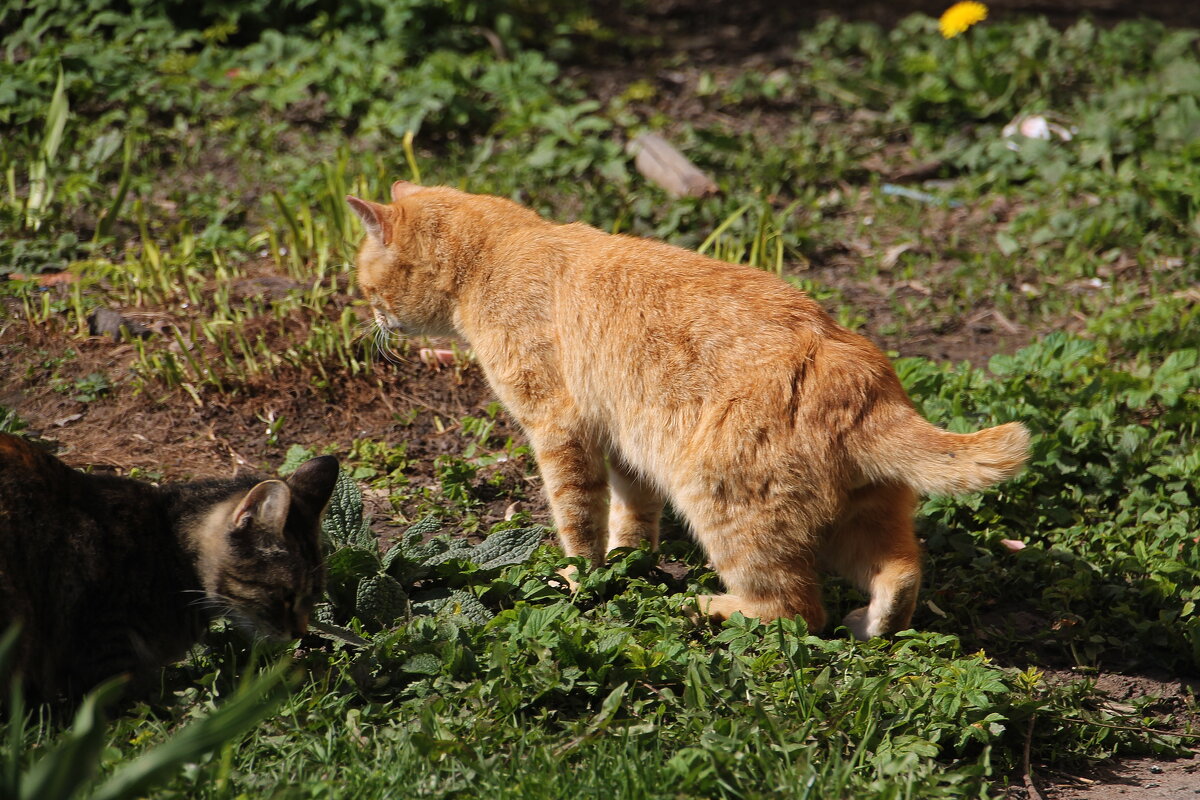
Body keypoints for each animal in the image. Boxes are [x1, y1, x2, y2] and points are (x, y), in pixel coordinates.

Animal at [348, 183, 1032, 638]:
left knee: (794, 612)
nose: (369, 319)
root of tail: (861, 380)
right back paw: (872, 622)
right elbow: (632, 514)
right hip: (858, 516)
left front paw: (577, 579)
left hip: (722, 502)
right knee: (901, 570)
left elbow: (577, 521)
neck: (501, 251)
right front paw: (630, 562)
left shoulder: (559, 429)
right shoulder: (626, 442)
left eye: (365, 284)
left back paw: (704, 608)